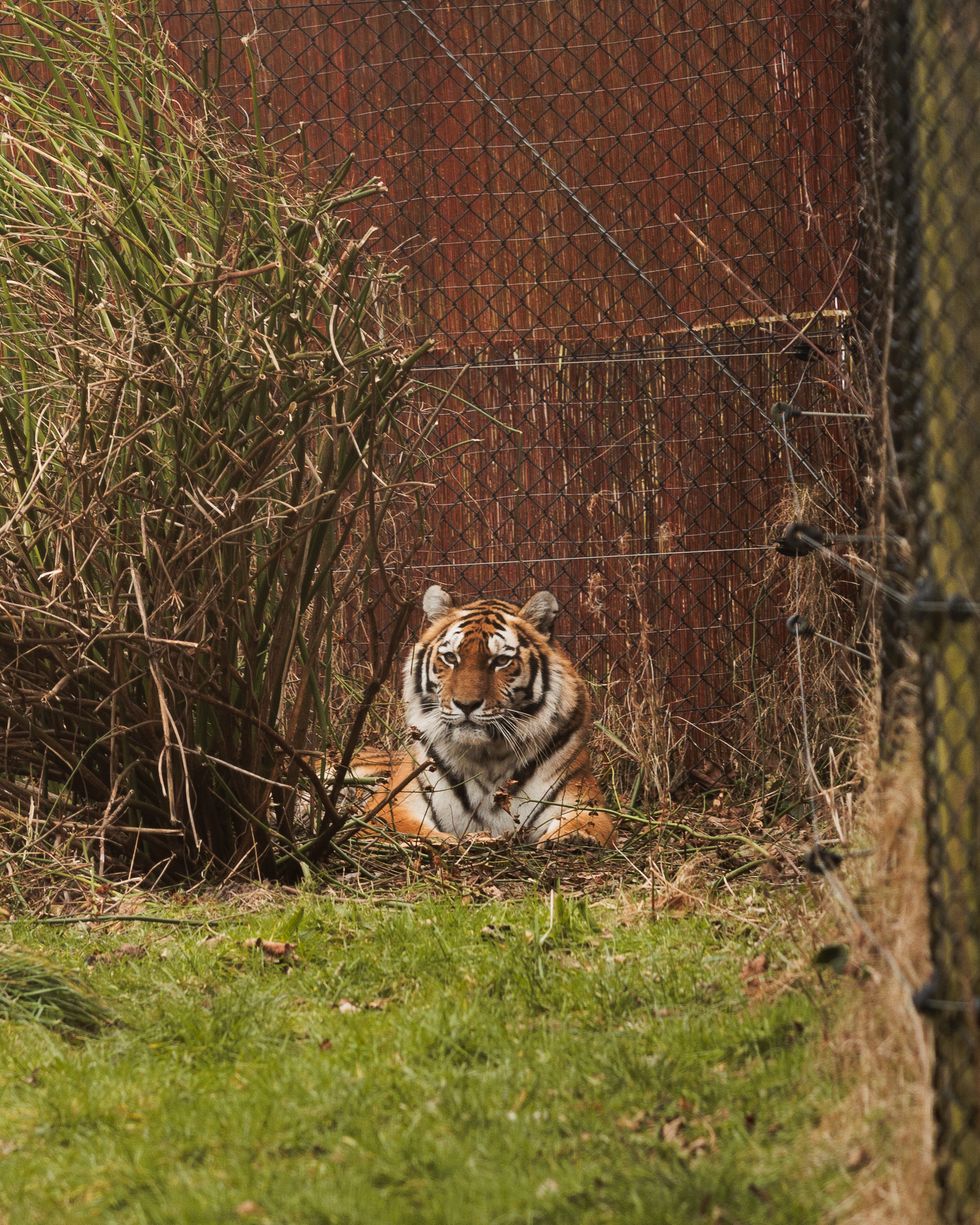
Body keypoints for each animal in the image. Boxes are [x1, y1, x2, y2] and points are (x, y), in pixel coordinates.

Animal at [369, 585, 615, 847]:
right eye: (451, 657)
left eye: (501, 660)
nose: (466, 705)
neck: (487, 757)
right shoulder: (392, 805)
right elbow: (409, 830)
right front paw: (459, 841)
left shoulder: (586, 802)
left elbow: (585, 822)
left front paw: (571, 839)